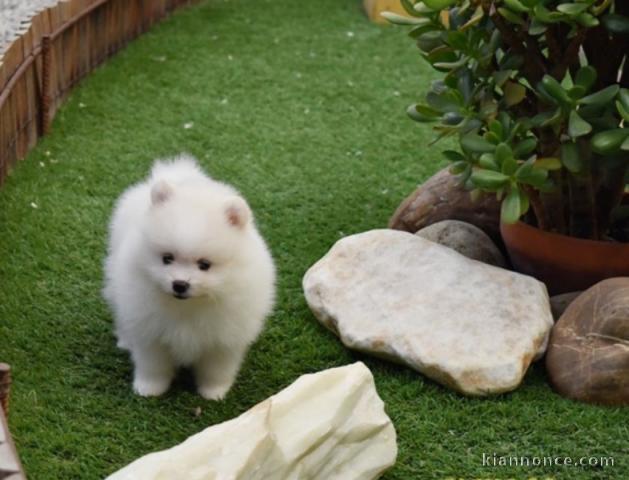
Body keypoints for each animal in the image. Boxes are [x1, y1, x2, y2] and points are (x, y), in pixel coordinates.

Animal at [103, 153, 274, 398]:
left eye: (204, 265)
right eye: (167, 258)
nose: (180, 284)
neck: (188, 307)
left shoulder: (224, 339)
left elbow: (216, 369)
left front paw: (214, 392)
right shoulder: (151, 334)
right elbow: (153, 365)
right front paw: (148, 389)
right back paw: (126, 340)